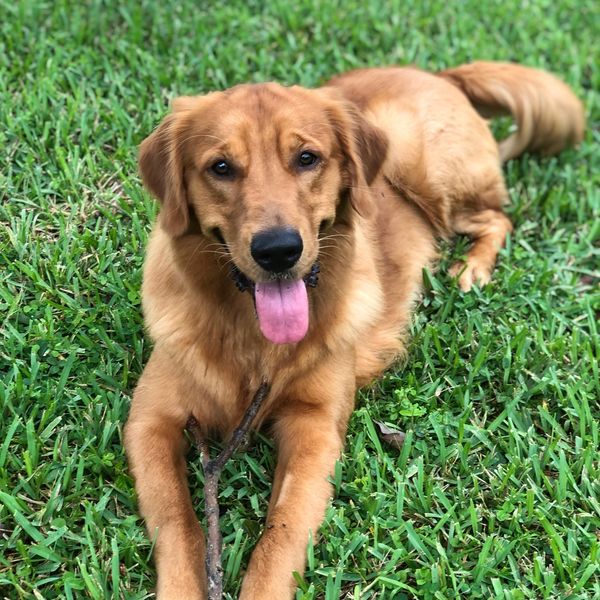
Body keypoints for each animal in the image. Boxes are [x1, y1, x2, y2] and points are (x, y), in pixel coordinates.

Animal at [124, 61, 584, 596]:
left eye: (307, 158)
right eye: (220, 167)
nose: (278, 251)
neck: (252, 339)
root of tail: (437, 73)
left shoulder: (315, 425)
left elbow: (281, 535)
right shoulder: (150, 422)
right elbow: (178, 523)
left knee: (497, 217)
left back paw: (472, 269)